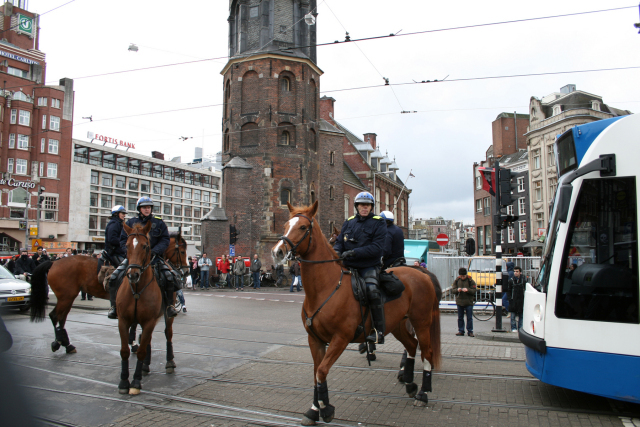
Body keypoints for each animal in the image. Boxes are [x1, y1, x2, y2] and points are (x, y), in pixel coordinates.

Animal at [30, 232, 189, 356]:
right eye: (182, 251)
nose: (186, 271)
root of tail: (53, 262)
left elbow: (133, 325)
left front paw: (132, 343)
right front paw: (133, 343)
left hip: (68, 297)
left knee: (61, 318)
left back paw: (65, 344)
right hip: (66, 297)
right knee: (55, 316)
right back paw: (60, 343)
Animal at [270, 202, 440, 426]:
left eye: (303, 227)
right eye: (285, 225)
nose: (278, 252)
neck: (326, 288)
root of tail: (421, 273)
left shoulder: (340, 338)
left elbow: (322, 371)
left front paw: (326, 409)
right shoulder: (314, 339)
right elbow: (316, 373)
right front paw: (314, 410)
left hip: (421, 321)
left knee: (426, 352)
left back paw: (423, 393)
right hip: (398, 325)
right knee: (412, 346)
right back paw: (410, 384)